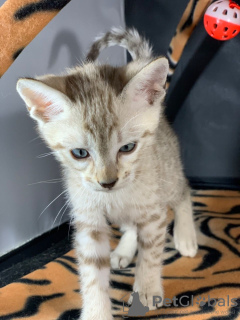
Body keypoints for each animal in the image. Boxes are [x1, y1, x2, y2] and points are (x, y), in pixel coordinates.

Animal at [16, 27, 197, 320]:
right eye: (80, 153)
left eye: (128, 148)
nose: (108, 182)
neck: (115, 196)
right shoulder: (89, 221)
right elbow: (92, 273)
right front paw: (96, 313)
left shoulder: (153, 212)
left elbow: (151, 254)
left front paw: (146, 289)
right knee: (131, 224)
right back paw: (124, 249)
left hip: (168, 175)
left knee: (183, 191)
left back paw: (186, 236)